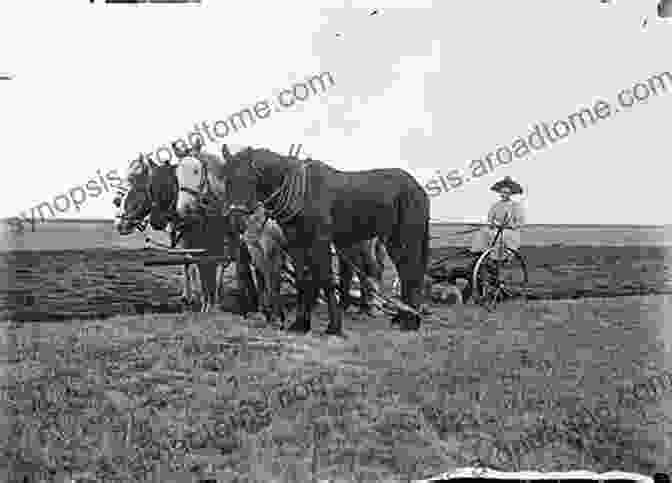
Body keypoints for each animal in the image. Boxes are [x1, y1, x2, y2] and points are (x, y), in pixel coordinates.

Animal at [198, 146, 430, 334]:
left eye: (251, 178)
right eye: (226, 180)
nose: (236, 220)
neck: (302, 193)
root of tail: (418, 187)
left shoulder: (319, 241)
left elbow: (325, 280)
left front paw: (334, 327)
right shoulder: (296, 245)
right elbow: (303, 280)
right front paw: (300, 324)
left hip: (404, 238)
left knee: (409, 273)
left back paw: (410, 322)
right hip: (391, 241)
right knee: (404, 273)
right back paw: (402, 318)